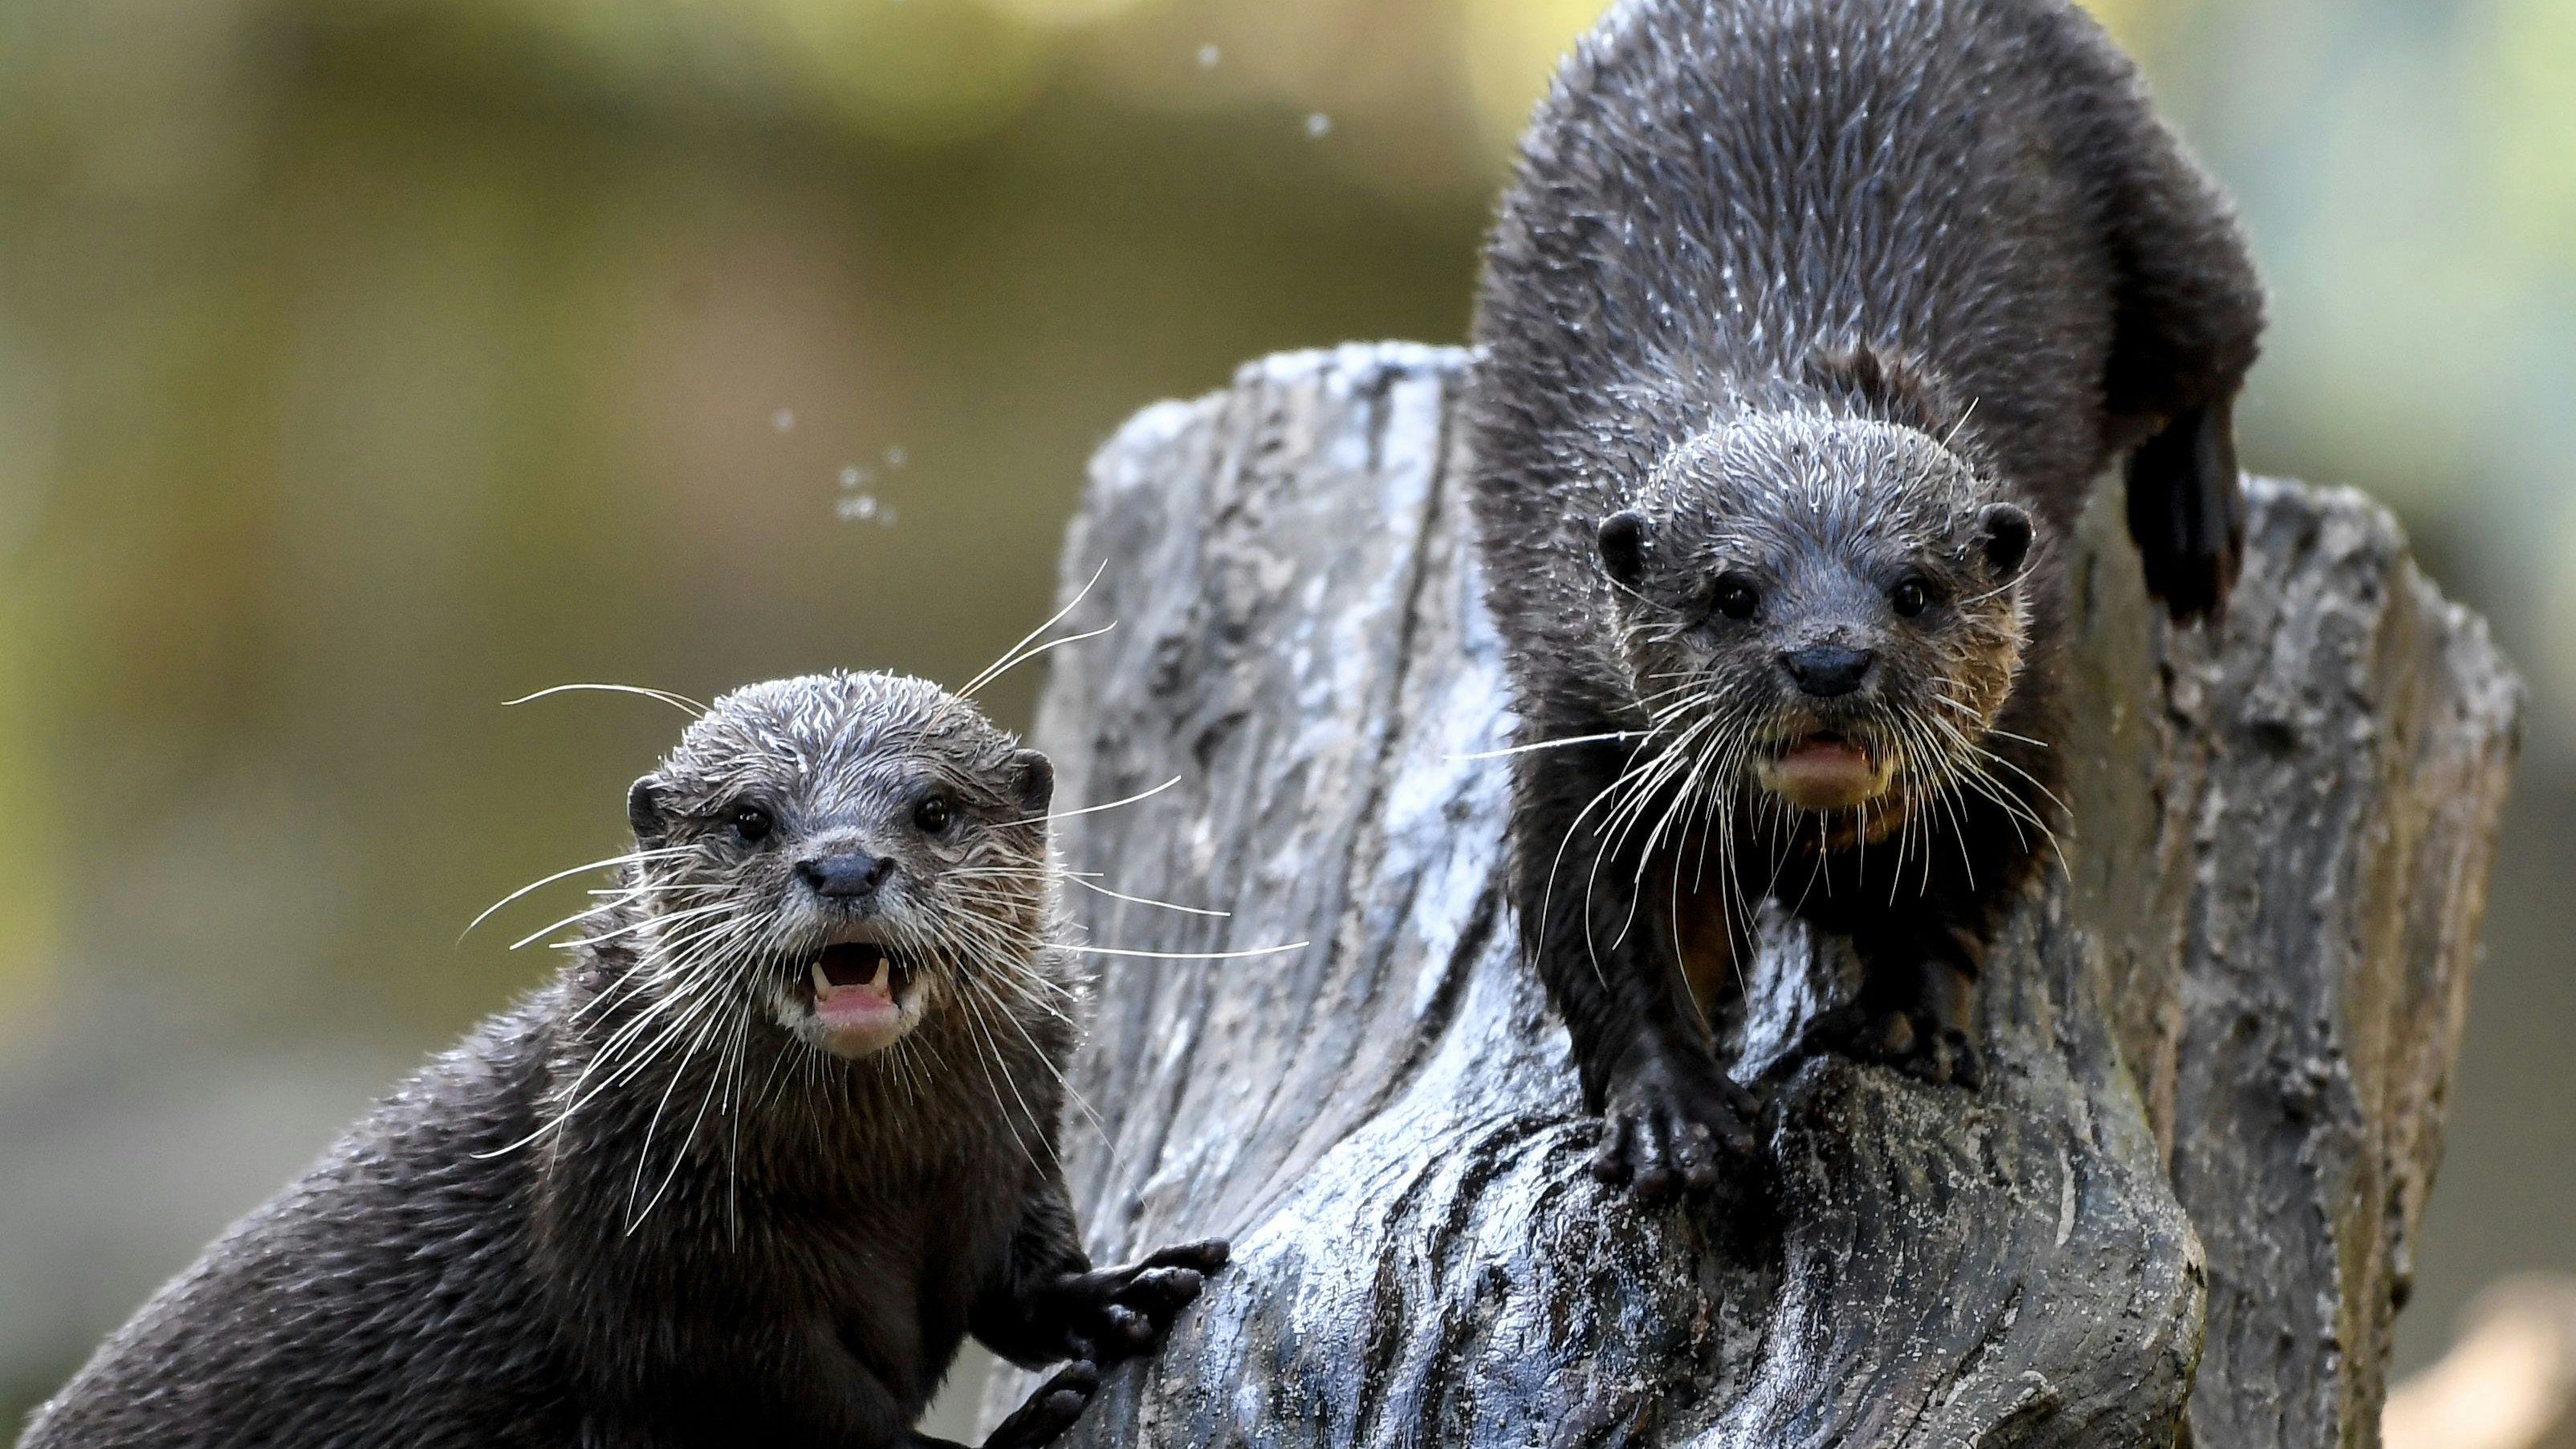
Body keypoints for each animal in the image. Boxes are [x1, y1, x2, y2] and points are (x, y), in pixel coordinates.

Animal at [22, 672, 1227, 1449]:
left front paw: (1118, 1295)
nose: (843, 861)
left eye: (933, 807)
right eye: (750, 818)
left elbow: (1012, 1277)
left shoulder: (1013, 1148)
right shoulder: (661, 1279)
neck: (873, 1189)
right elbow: (783, 1413)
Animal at [1465, 0, 2262, 1197]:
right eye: (1732, 592)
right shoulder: (1575, 719)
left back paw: (2193, 530)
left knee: (2222, 319)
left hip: (2145, 196)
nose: (1828, 657)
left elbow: (1970, 876)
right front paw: (1672, 1108)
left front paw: (1905, 1016)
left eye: (1914, 590)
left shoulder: (2026, 714)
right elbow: (1594, 926)